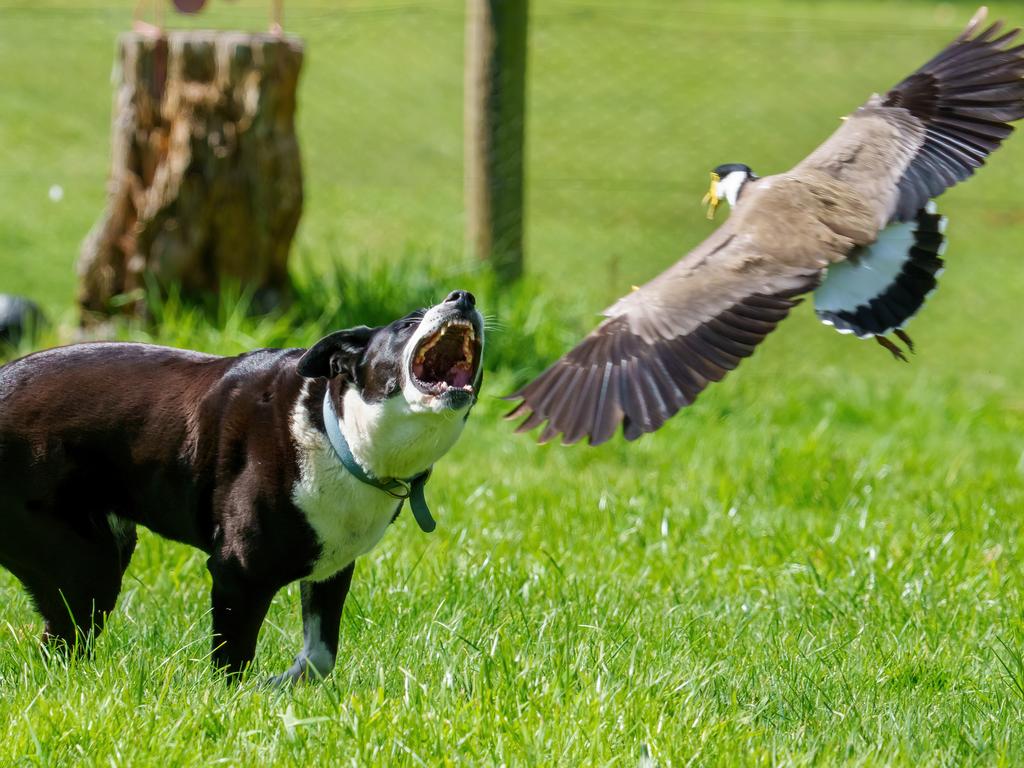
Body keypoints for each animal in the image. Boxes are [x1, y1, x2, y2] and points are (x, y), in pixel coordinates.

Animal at [0, 290, 483, 684]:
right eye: (407, 323)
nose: (463, 297)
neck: (336, 430)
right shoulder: (239, 573)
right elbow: (233, 658)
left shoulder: (331, 568)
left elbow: (320, 655)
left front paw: (280, 685)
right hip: (85, 564)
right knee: (62, 642)